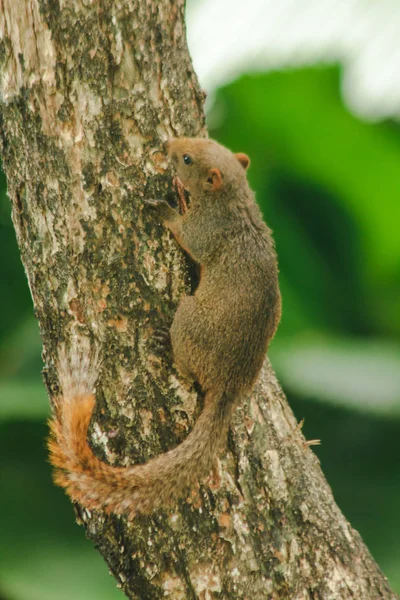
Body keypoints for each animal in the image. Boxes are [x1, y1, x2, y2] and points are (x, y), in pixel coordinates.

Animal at [47, 138, 282, 516]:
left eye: (186, 159)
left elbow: (187, 236)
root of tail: (230, 385)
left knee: (188, 370)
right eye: (206, 142)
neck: (235, 198)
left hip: (188, 317)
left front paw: (168, 210)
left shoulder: (208, 230)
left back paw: (166, 346)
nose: (168, 143)